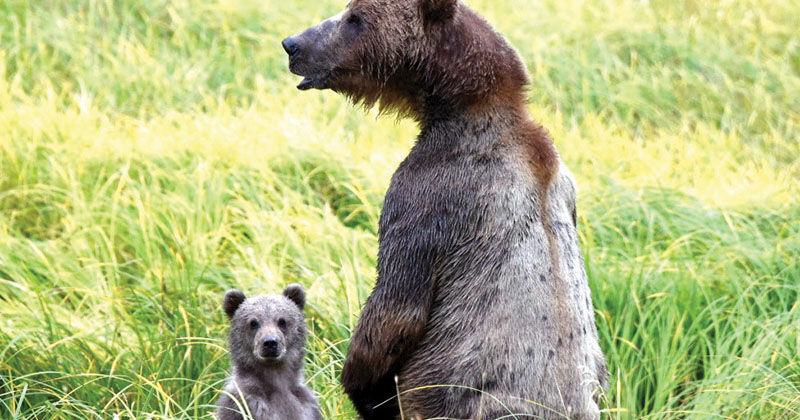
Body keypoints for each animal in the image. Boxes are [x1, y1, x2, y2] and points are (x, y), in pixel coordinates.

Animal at [283, 0, 608, 419]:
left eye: (356, 18)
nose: (293, 44)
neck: (461, 106)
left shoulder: (430, 192)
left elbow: (396, 306)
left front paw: (359, 385)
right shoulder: (568, 192)